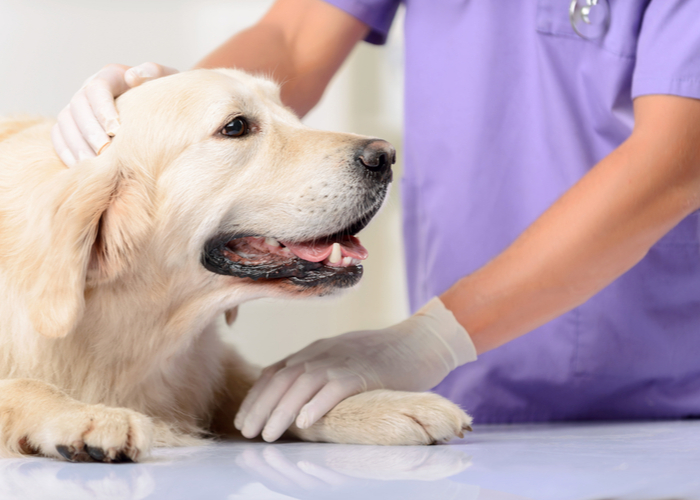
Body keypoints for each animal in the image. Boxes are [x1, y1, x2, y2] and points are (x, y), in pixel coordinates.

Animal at [0, 68, 474, 462]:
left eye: (287, 110)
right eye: (235, 127)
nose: (385, 156)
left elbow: (269, 387)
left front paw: (380, 404)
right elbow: (22, 384)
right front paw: (86, 416)